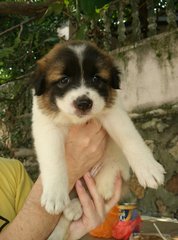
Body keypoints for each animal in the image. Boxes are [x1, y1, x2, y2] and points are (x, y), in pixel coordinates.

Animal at [31, 40, 165, 238]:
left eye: (96, 79)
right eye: (64, 80)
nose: (83, 103)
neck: (77, 121)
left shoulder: (113, 113)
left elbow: (130, 137)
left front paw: (148, 169)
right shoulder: (47, 127)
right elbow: (54, 159)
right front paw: (54, 194)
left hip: (108, 174)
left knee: (92, 193)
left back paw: (74, 207)